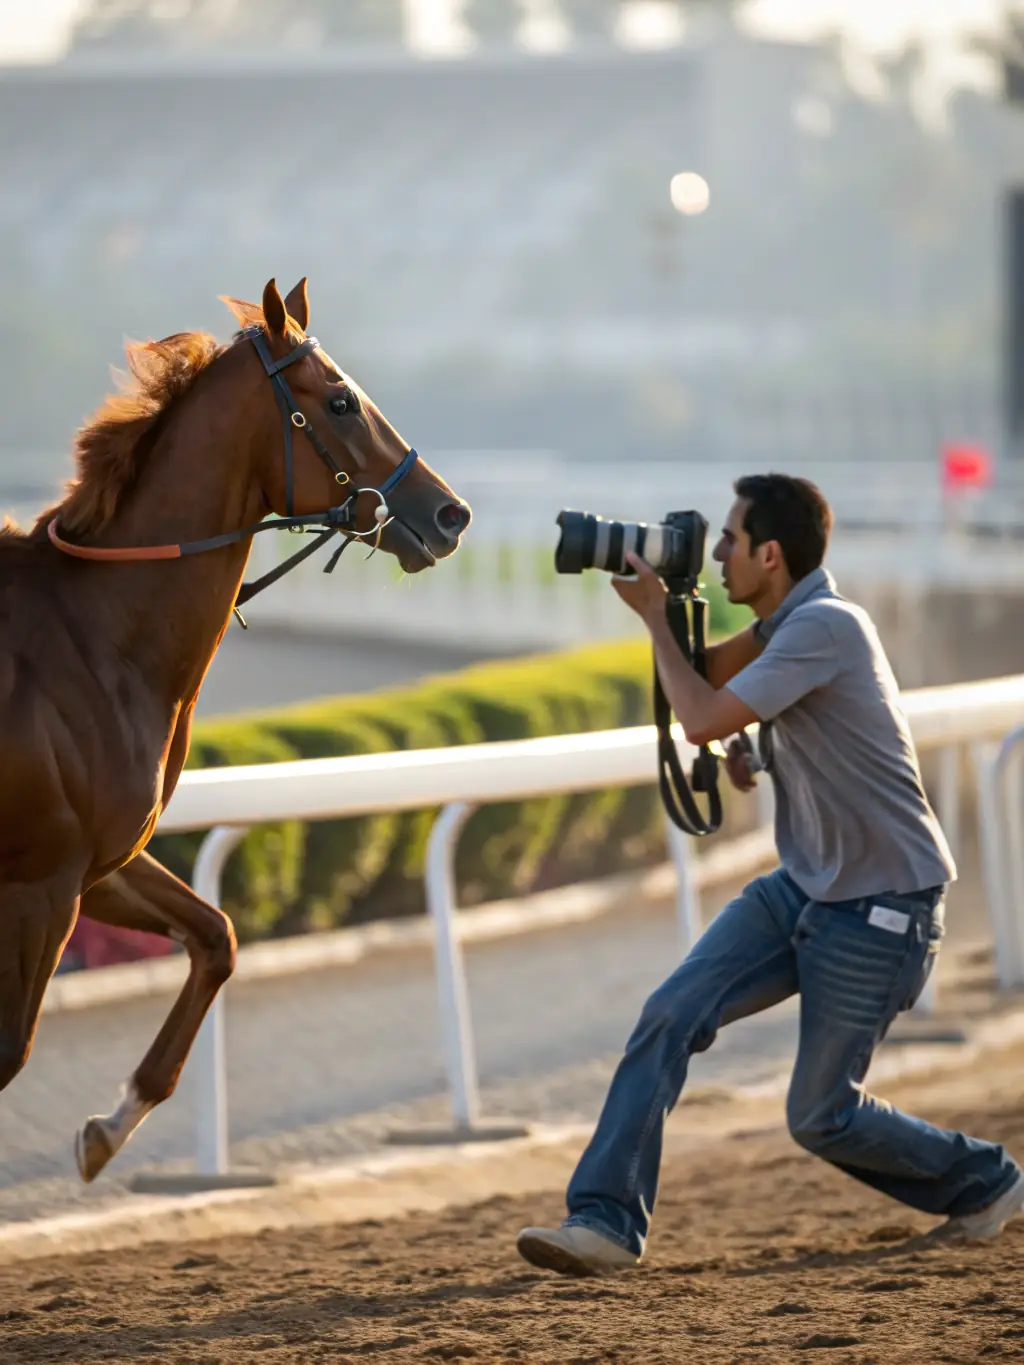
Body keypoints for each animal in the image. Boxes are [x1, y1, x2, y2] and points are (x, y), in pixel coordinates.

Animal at [0, 276, 471, 1182]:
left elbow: (215, 936)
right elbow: (10, 1052)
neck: (95, 632)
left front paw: (107, 1127)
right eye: (340, 398)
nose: (449, 513)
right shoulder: (39, 885)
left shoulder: (99, 863)